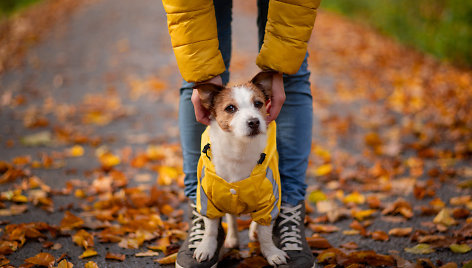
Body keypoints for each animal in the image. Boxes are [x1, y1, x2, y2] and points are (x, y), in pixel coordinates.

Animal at [192, 72, 288, 266]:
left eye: (258, 103)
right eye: (230, 108)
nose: (254, 122)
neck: (239, 150)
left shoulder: (269, 200)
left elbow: (265, 232)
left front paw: (271, 252)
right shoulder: (208, 199)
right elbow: (211, 228)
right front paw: (207, 247)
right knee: (231, 217)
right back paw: (233, 238)